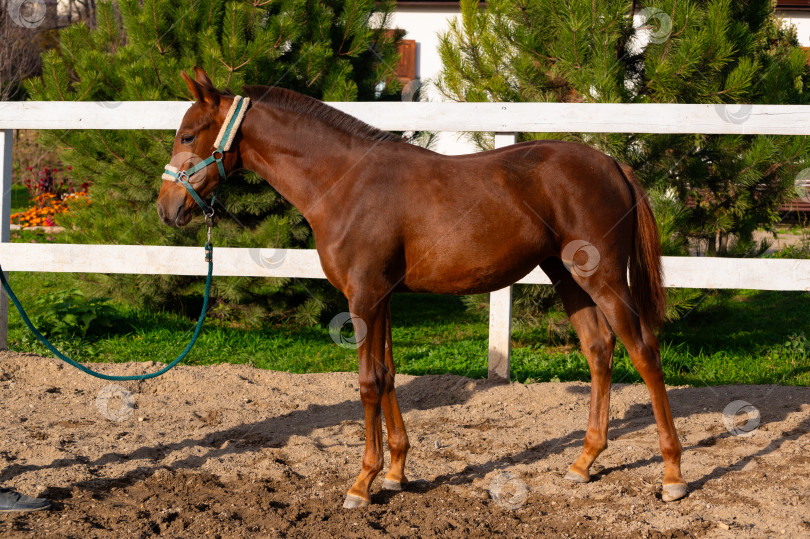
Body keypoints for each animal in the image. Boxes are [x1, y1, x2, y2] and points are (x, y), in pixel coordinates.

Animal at [157, 67, 688, 508]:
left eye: (188, 134)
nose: (166, 209)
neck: (345, 182)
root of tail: (612, 164)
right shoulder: (384, 296)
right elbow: (389, 374)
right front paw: (395, 473)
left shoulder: (364, 297)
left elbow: (368, 382)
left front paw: (362, 483)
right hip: (566, 276)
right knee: (599, 349)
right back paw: (584, 461)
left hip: (603, 277)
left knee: (643, 350)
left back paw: (673, 474)